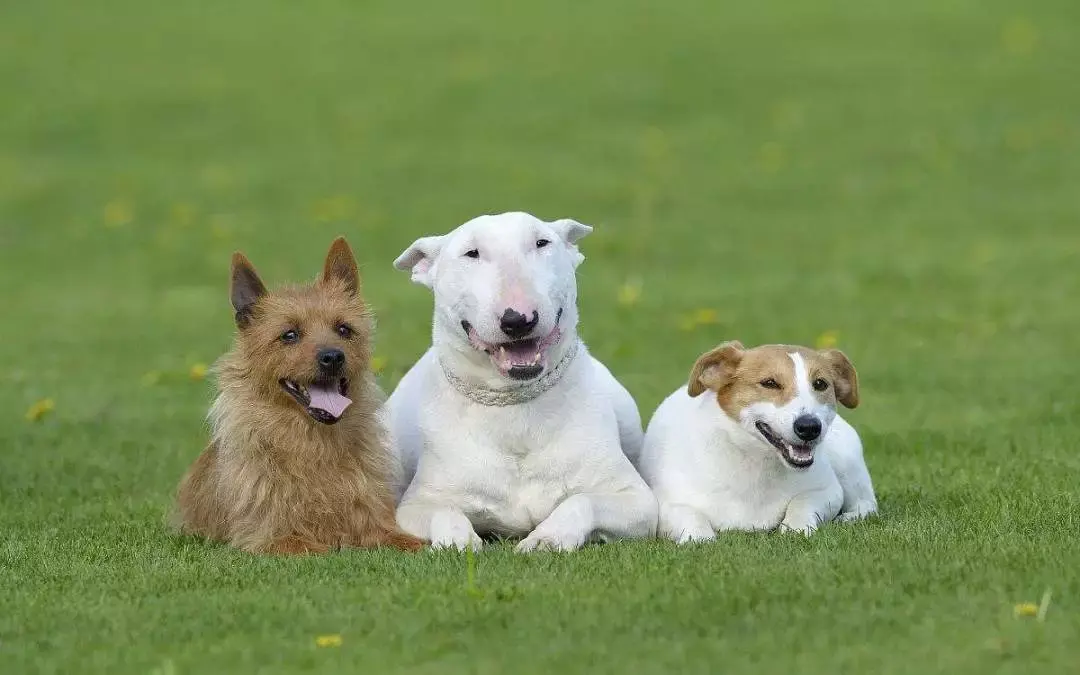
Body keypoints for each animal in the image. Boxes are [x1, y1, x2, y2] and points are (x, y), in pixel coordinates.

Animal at [172, 236, 421, 552]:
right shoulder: (271, 538)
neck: (315, 445)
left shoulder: (376, 522)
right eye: (289, 335)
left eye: (344, 329)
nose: (333, 357)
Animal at [388, 211, 656, 552]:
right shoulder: (415, 505)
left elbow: (582, 501)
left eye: (542, 242)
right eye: (471, 253)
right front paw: (459, 541)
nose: (518, 320)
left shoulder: (636, 500)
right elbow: (444, 511)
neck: (513, 404)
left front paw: (547, 538)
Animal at [639, 339, 876, 540]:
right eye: (769, 383)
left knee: (867, 503)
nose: (809, 427)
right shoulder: (668, 505)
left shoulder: (828, 490)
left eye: (820, 384)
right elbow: (692, 518)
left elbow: (802, 503)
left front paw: (796, 527)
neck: (755, 460)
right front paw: (699, 537)